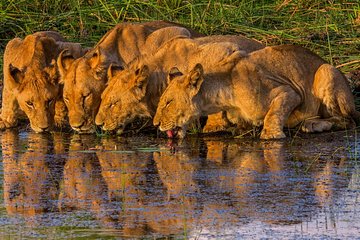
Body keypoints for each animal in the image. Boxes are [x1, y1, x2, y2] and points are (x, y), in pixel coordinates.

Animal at [153, 44, 360, 139]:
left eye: (168, 102)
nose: (155, 124)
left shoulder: (289, 91)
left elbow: (274, 113)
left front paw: (271, 134)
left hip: (327, 70)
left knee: (347, 120)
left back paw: (313, 125)